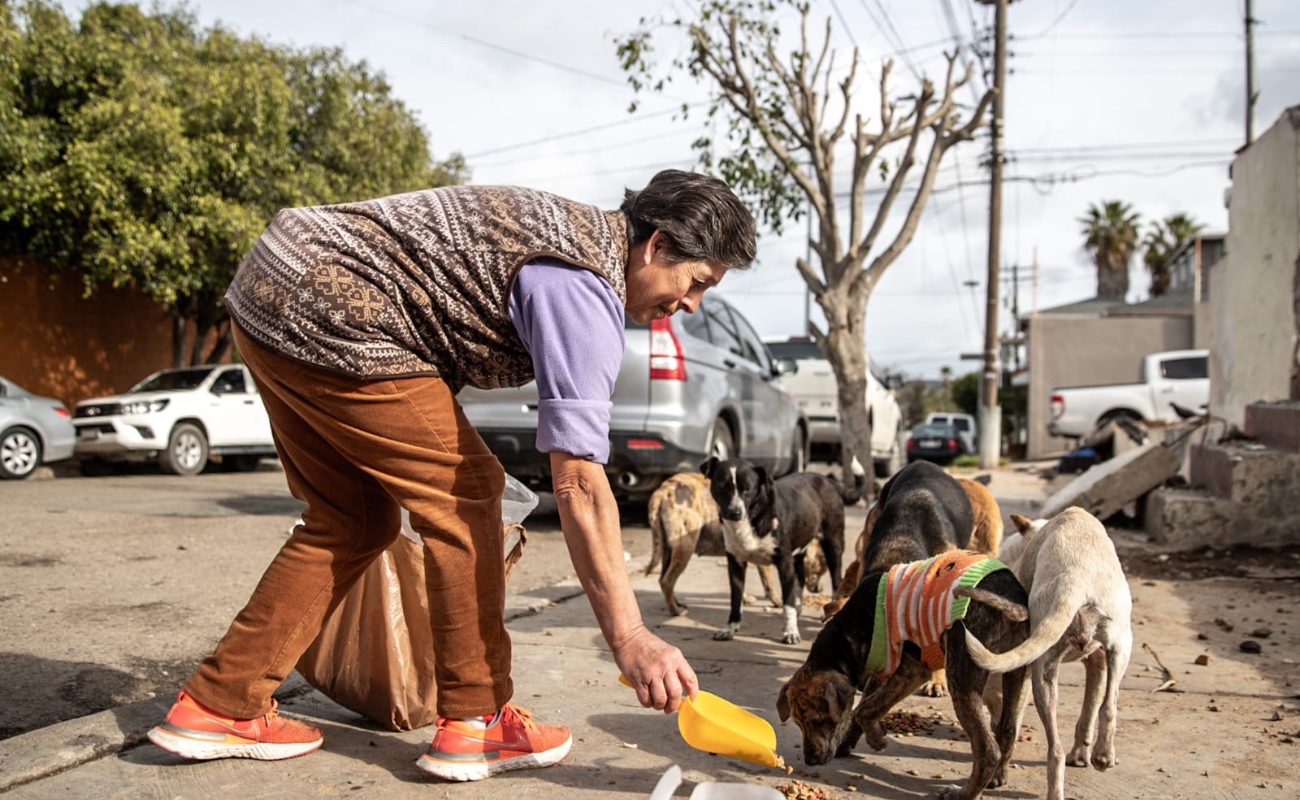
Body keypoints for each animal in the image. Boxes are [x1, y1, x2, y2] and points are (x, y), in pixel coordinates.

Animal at [702, 457, 863, 645]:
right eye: (723, 486)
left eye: (747, 489)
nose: (734, 512)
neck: (753, 517)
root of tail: (826, 478)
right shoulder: (735, 563)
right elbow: (735, 600)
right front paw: (730, 628)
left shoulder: (784, 563)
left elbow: (787, 604)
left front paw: (791, 632)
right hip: (800, 549)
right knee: (800, 578)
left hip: (833, 545)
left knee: (836, 580)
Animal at [774, 551, 1029, 800]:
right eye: (797, 723)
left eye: (817, 721)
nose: (810, 760)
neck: (847, 635)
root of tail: (1011, 599)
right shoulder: (880, 669)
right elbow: (863, 708)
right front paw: (850, 742)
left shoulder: (912, 671)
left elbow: (863, 709)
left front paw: (877, 739)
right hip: (1015, 671)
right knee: (1008, 728)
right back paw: (998, 776)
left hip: (962, 674)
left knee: (987, 750)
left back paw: (964, 793)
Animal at [961, 509, 1133, 800]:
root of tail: (1077, 579)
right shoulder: (1097, 660)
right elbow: (1091, 706)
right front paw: (1083, 753)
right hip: (1110, 650)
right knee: (1103, 710)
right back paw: (1101, 757)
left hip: (1058, 666)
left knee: (1065, 739)